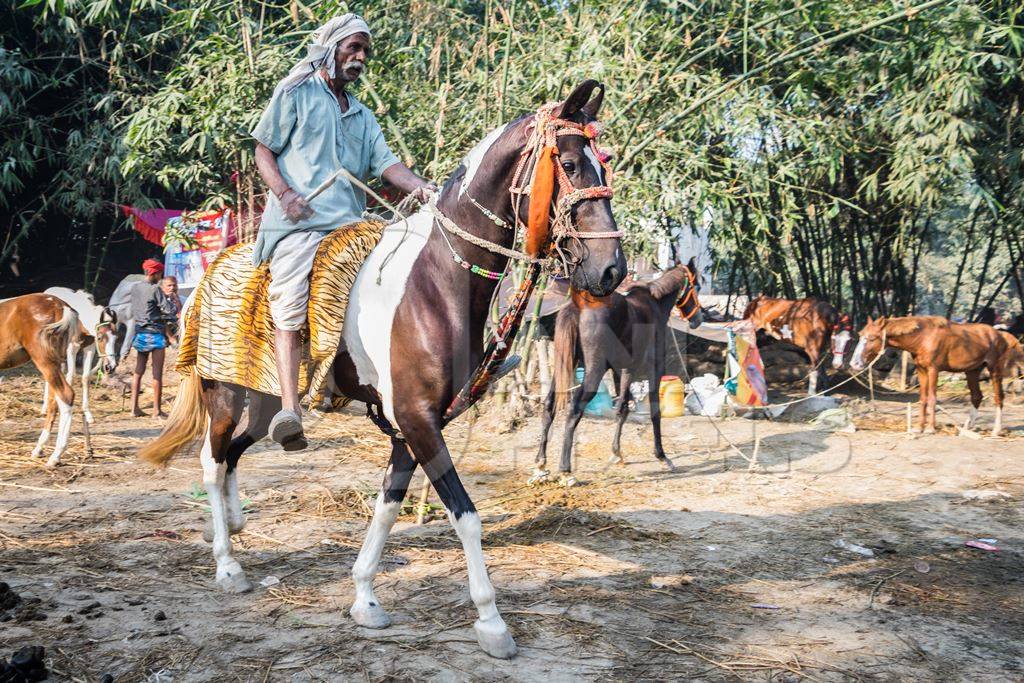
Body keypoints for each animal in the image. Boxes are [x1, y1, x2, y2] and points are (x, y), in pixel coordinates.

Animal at [0, 290, 81, 466]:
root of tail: (60, 305)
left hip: (44, 359)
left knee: (66, 395)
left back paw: (56, 456)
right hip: (56, 362)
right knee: (54, 400)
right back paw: (39, 448)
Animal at [40, 286, 117, 423]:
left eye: (116, 338)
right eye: (100, 337)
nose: (111, 367)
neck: (82, 322)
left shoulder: (90, 349)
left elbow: (85, 377)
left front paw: (88, 413)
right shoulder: (72, 349)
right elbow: (70, 376)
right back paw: (44, 408)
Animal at [136, 81, 622, 663]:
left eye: (603, 162)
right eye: (568, 164)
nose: (611, 270)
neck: (434, 282)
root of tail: (206, 280)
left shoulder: (413, 425)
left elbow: (389, 505)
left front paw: (365, 595)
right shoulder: (416, 418)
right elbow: (465, 515)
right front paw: (491, 622)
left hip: (267, 400)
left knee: (233, 455)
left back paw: (235, 524)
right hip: (225, 395)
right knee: (211, 461)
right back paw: (227, 563)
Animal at [536, 259, 704, 483]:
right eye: (697, 286)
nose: (698, 319)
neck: (654, 303)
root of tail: (576, 307)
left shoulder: (626, 370)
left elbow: (622, 409)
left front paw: (616, 453)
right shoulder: (655, 369)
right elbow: (655, 411)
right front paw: (662, 456)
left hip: (565, 365)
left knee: (549, 404)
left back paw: (540, 463)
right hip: (594, 371)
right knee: (574, 411)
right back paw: (566, 470)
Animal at [847, 317, 1024, 436]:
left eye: (872, 338)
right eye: (860, 335)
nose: (854, 363)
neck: (923, 336)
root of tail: (1001, 335)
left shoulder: (933, 370)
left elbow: (932, 398)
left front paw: (930, 428)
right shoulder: (921, 370)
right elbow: (923, 398)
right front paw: (920, 427)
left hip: (995, 370)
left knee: (999, 397)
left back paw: (996, 430)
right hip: (972, 371)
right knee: (976, 396)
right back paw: (967, 427)